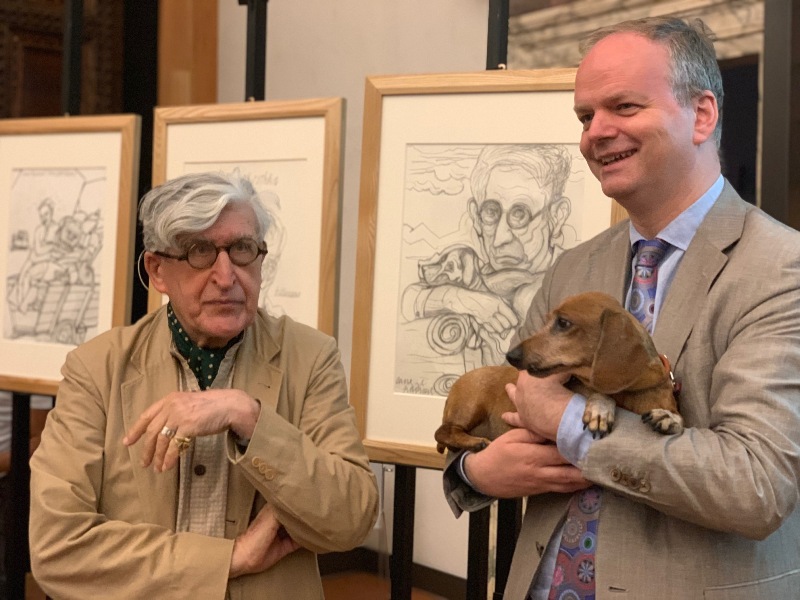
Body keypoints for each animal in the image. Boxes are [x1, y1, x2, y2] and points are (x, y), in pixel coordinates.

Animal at [434, 291, 683, 454]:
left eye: (563, 323)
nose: (511, 355)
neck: (628, 391)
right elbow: (601, 393)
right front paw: (600, 409)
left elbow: (678, 420)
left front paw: (668, 418)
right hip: (471, 402)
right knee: (443, 431)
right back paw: (474, 441)